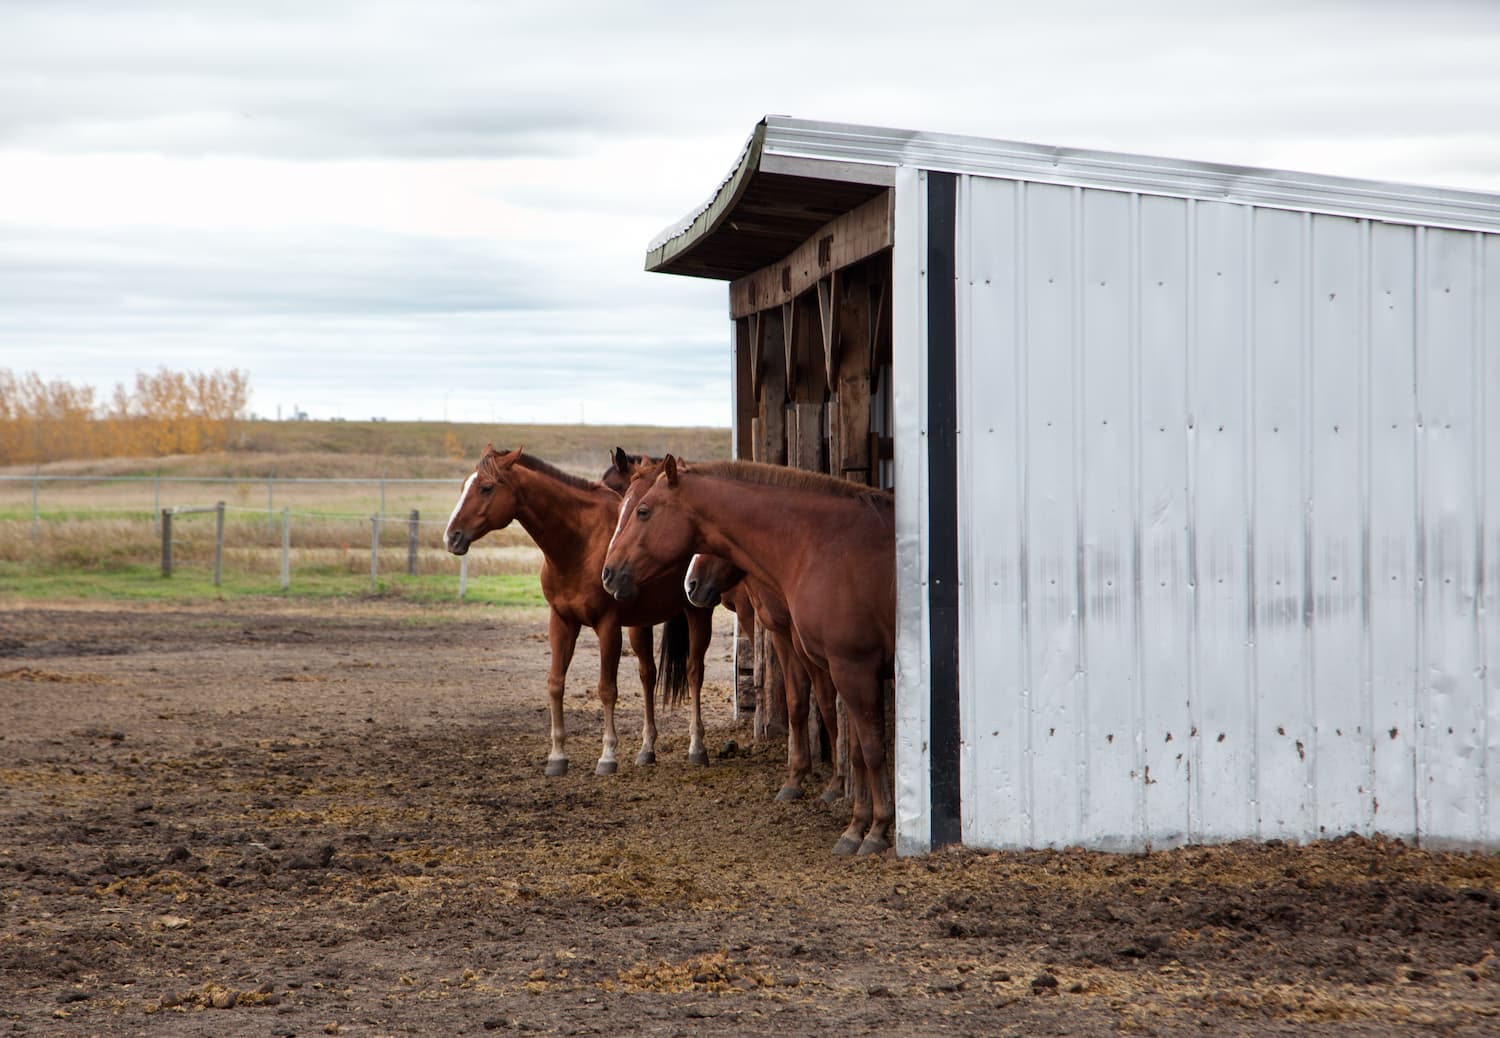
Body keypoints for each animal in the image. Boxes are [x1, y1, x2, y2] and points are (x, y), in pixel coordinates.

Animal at [443, 445, 713, 776]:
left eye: (486, 487)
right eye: (464, 486)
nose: (452, 536)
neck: (580, 544)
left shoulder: (608, 626)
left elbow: (606, 689)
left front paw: (607, 756)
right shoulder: (561, 622)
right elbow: (555, 684)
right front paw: (557, 756)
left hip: (697, 614)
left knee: (694, 671)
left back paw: (697, 747)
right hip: (640, 626)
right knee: (648, 675)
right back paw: (647, 749)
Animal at [684, 552, 843, 805]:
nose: (690, 586)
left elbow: (828, 705)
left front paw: (836, 783)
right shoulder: (782, 633)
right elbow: (796, 701)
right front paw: (797, 778)